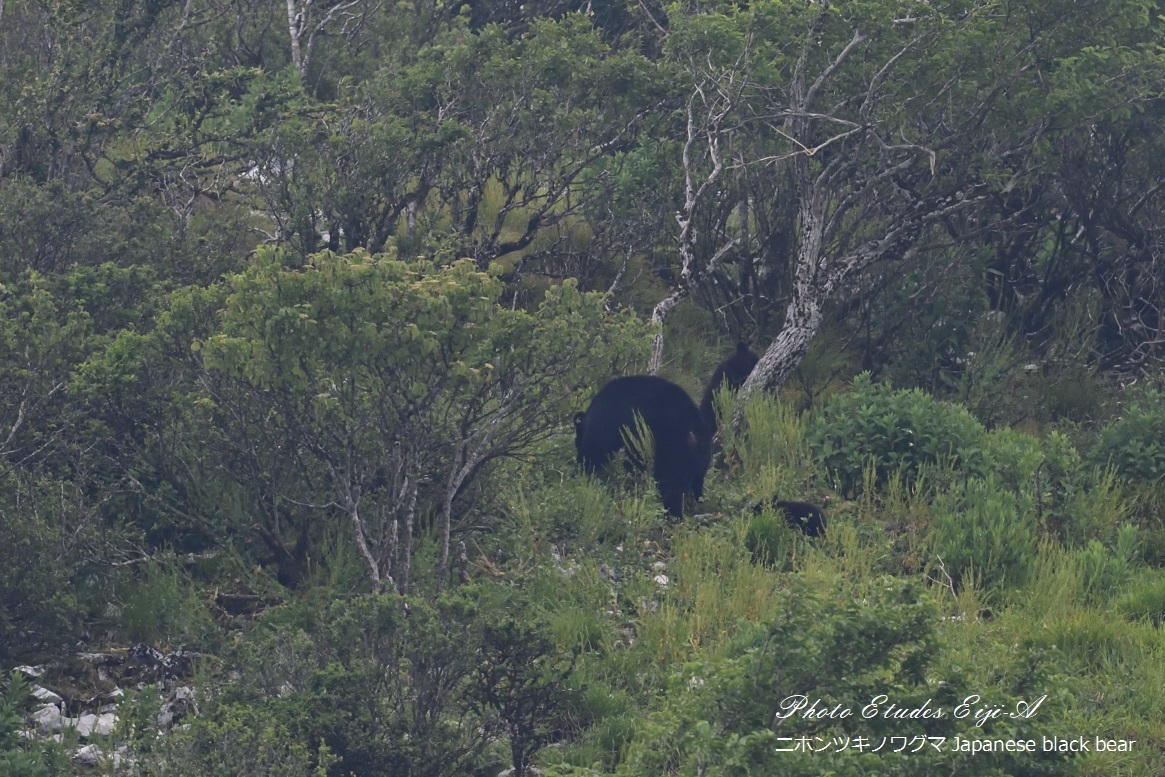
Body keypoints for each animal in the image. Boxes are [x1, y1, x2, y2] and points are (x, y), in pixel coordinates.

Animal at [575, 342, 759, 517]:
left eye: (577, 441)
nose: (577, 457)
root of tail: (697, 433)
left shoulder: (610, 419)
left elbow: (599, 445)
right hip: (698, 459)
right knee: (695, 482)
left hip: (675, 449)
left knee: (671, 481)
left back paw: (672, 512)